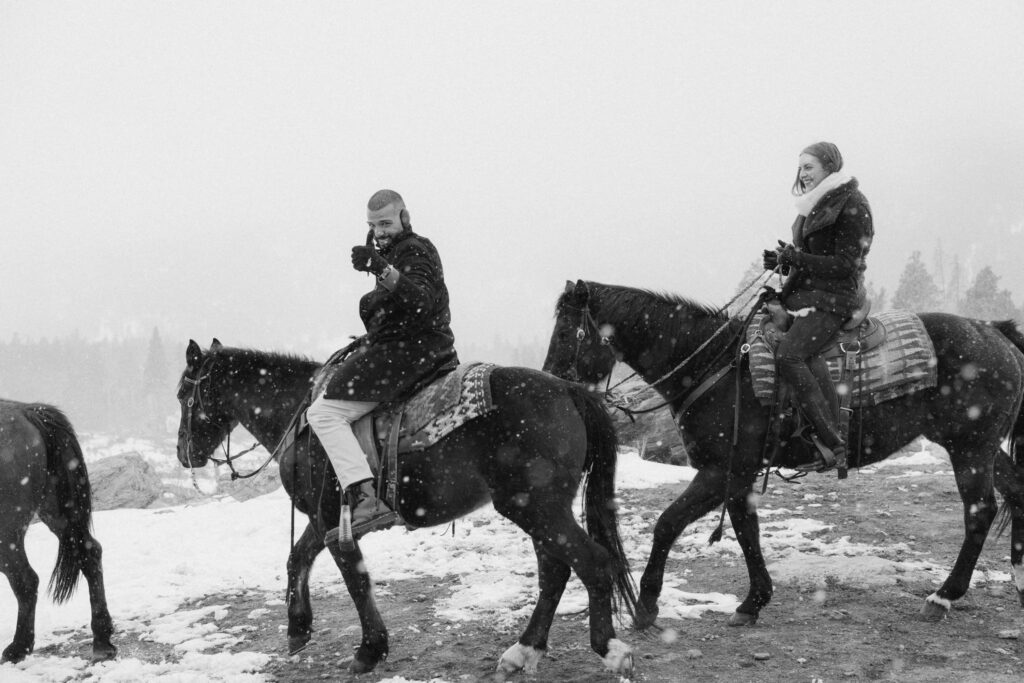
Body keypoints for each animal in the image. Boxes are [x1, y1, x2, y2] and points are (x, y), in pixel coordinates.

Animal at [0, 401, 116, 663]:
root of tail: (27, 411)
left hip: (8, 530)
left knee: (26, 580)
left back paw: (19, 647)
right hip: (57, 512)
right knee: (90, 553)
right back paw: (102, 639)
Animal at [177, 342, 638, 679]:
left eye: (184, 394)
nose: (184, 453)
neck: (302, 417)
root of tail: (569, 390)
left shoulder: (332, 519)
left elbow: (355, 578)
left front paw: (370, 649)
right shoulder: (321, 519)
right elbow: (298, 559)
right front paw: (297, 629)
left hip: (537, 508)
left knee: (593, 563)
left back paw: (609, 649)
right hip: (542, 510)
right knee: (556, 570)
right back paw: (523, 651)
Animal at [548, 280, 1024, 634]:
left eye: (568, 333)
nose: (552, 382)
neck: (715, 366)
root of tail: (994, 330)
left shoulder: (722, 471)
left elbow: (678, 524)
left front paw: (653, 605)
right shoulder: (734, 475)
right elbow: (738, 530)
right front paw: (748, 602)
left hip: (970, 447)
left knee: (981, 511)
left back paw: (943, 596)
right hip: (979, 446)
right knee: (1014, 493)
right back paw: (1016, 578)